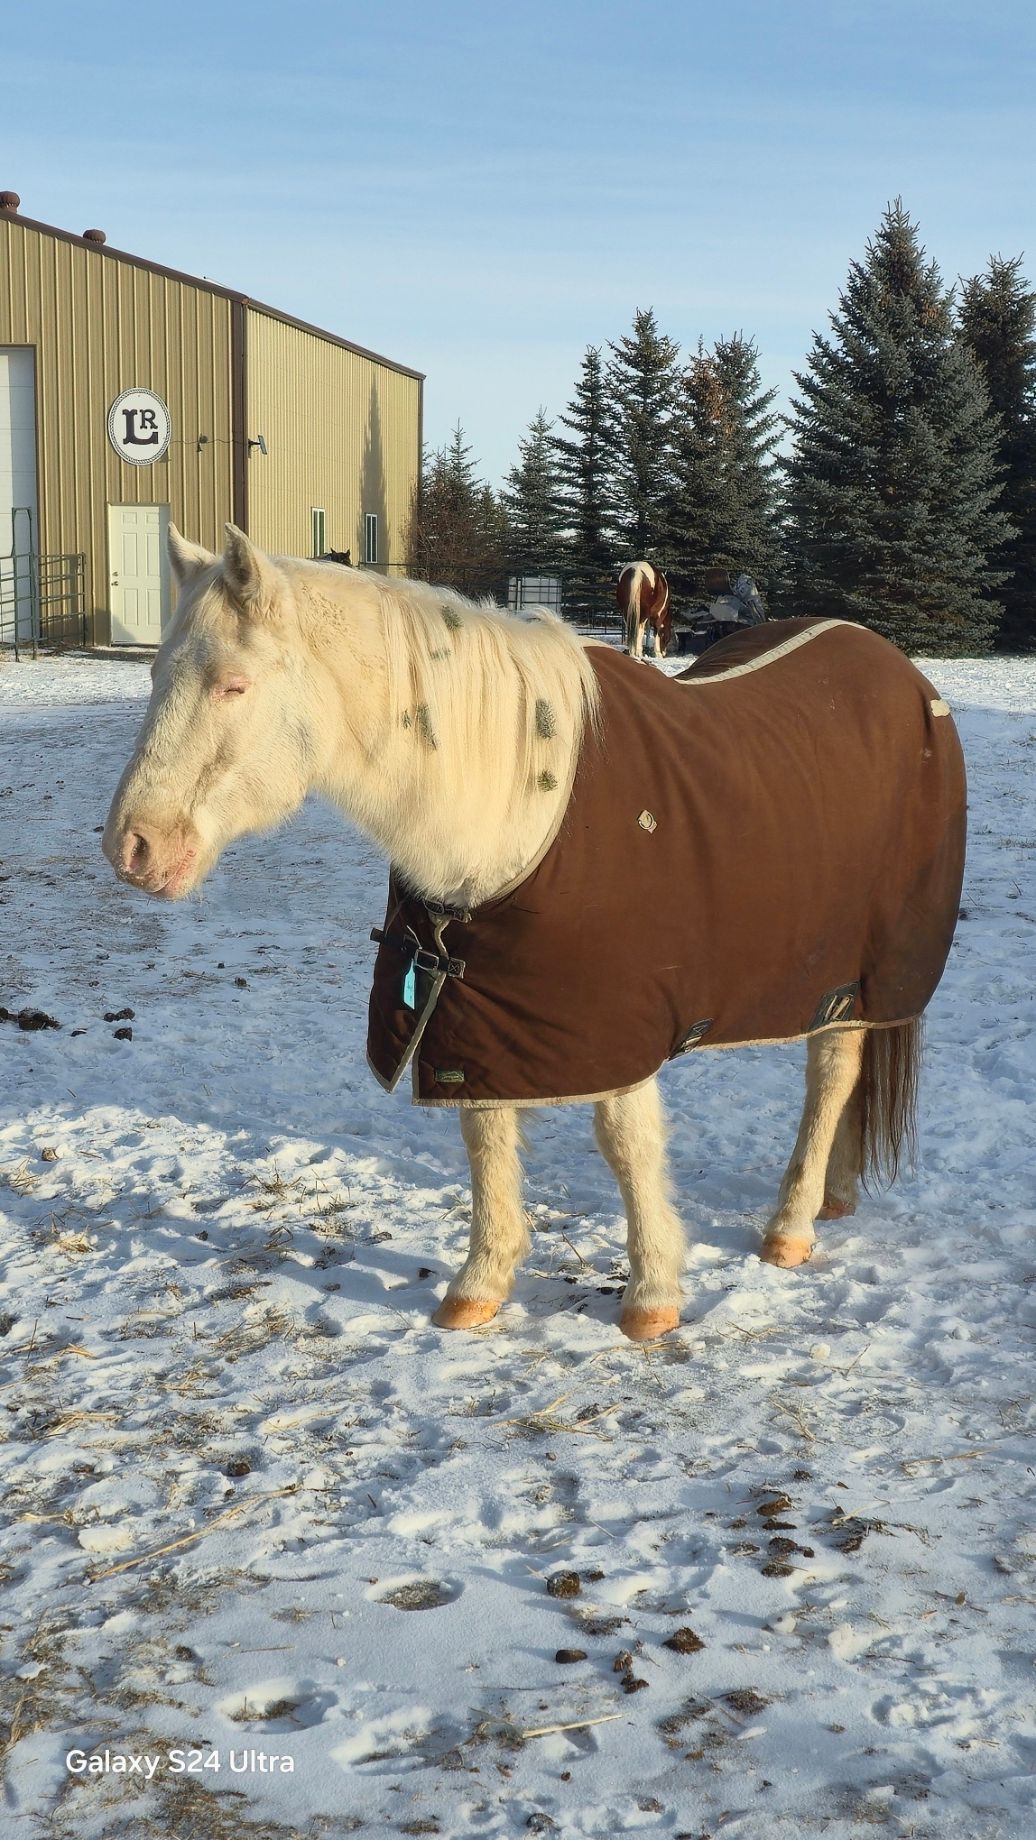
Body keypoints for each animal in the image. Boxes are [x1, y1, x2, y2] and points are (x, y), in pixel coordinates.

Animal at [103, 526, 966, 1343]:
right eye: (153, 677)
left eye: (233, 683)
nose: (131, 848)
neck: (515, 809)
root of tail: (899, 670)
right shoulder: (477, 1010)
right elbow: (485, 1134)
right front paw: (479, 1285)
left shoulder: (614, 1023)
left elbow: (626, 1144)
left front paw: (652, 1297)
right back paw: (834, 1198)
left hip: (858, 974)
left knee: (832, 1076)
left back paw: (791, 1225)